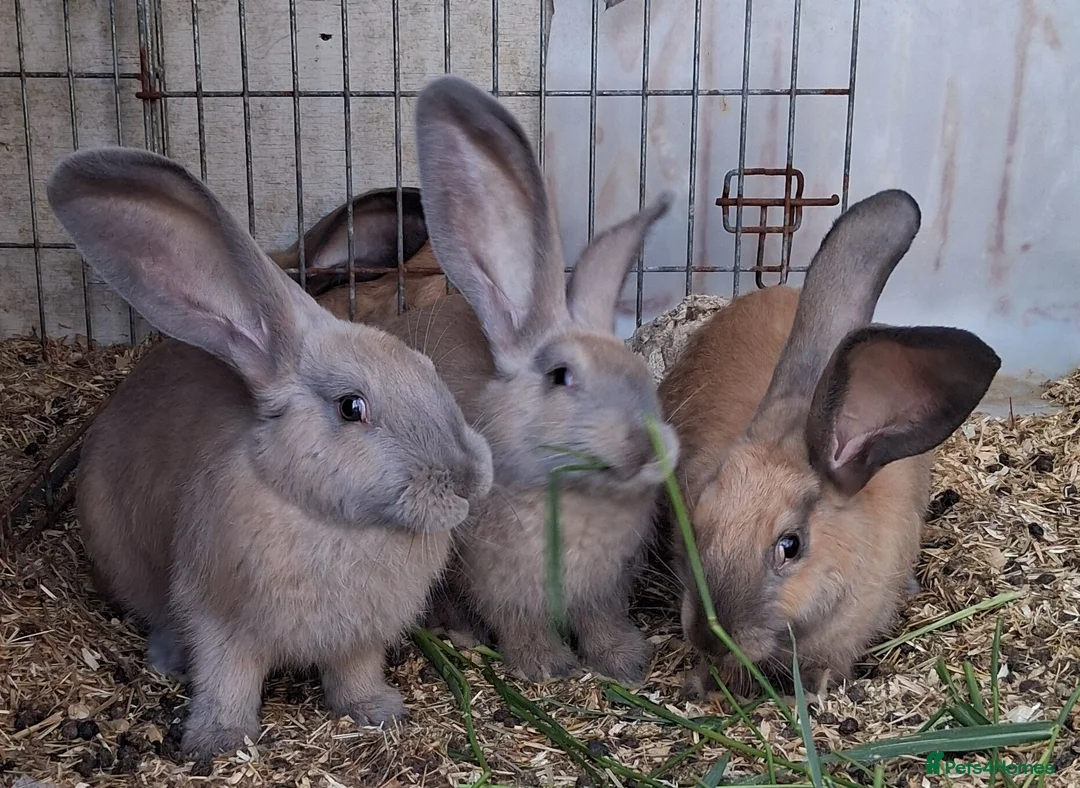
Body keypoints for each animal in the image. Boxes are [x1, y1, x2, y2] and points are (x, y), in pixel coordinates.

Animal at [369, 75, 682, 685]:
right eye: (560, 376)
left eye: (641, 373)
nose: (645, 444)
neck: (577, 500)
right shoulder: (503, 589)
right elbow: (523, 628)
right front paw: (548, 669)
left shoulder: (603, 593)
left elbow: (602, 623)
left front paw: (626, 663)